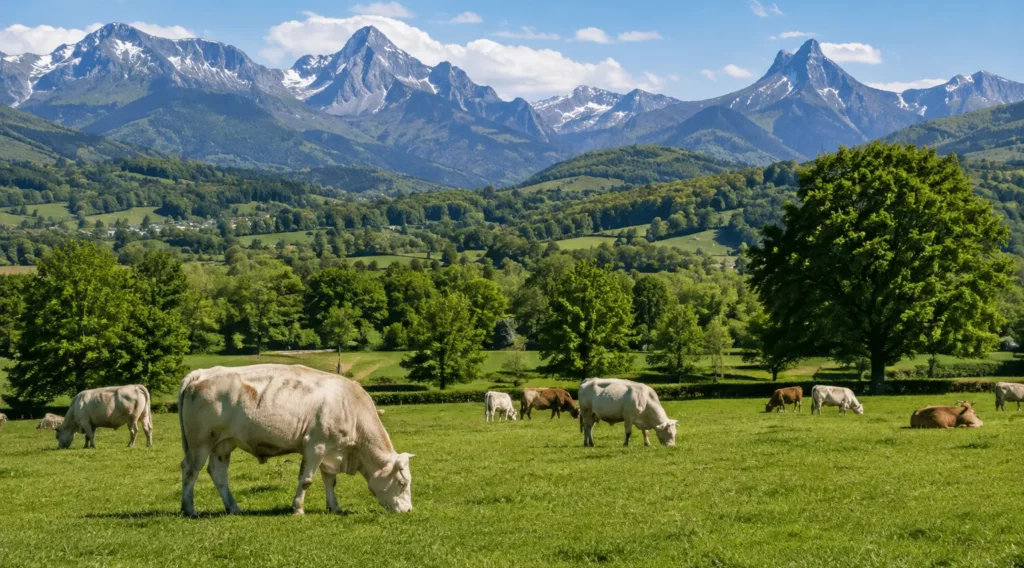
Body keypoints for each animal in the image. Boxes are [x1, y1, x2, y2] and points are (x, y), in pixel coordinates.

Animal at [178, 364, 414, 517]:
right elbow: (306, 480)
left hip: (222, 444)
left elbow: (330, 481)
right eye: (402, 483)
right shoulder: (315, 445)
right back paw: (189, 510)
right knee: (190, 470)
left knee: (218, 474)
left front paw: (334, 507)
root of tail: (203, 372)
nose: (409, 510)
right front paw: (298, 509)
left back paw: (234, 508)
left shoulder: (331, 451)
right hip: (200, 442)